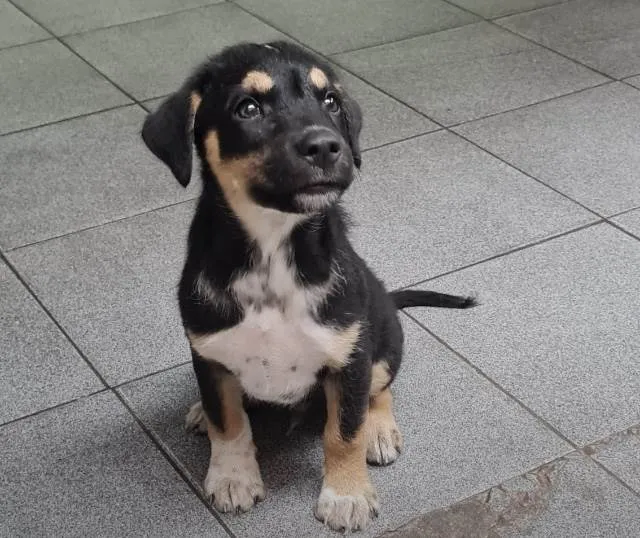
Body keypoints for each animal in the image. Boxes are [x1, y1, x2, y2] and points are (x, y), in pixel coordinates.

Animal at [141, 40, 476, 528]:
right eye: (248, 107)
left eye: (330, 101)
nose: (325, 146)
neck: (274, 250)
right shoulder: (208, 351)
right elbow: (230, 422)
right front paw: (232, 477)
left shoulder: (349, 357)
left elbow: (344, 431)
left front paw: (346, 494)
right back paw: (201, 412)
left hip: (382, 343)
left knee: (381, 389)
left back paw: (380, 431)